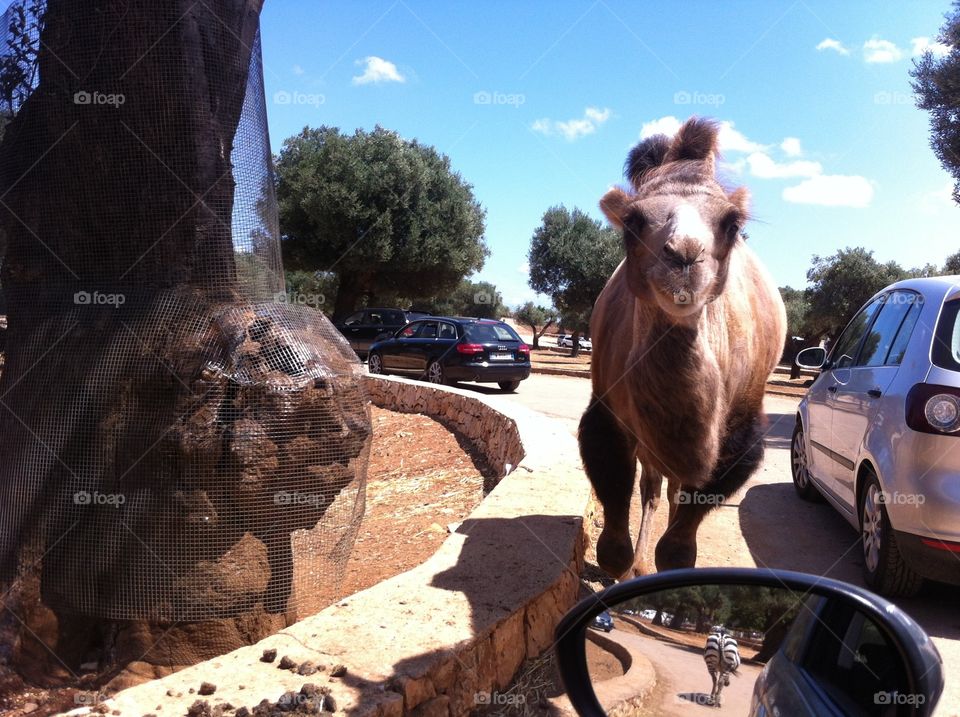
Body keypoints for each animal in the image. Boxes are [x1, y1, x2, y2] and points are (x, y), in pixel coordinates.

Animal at [580, 116, 784, 576]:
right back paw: (639, 567)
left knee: (672, 488)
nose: (684, 255)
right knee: (654, 485)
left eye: (732, 223)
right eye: (633, 222)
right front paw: (626, 570)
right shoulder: (606, 412)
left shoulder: (735, 437)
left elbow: (678, 548)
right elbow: (614, 534)